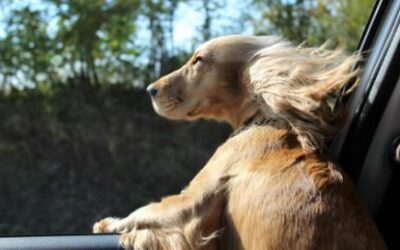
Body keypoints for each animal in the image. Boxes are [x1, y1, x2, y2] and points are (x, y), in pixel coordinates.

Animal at [92, 35, 386, 250]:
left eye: (198, 60)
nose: (150, 89)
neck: (262, 120)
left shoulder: (193, 200)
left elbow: (145, 211)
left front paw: (111, 225)